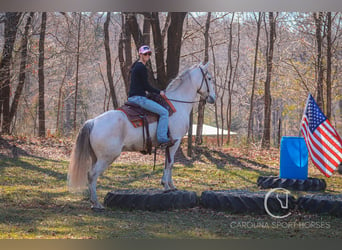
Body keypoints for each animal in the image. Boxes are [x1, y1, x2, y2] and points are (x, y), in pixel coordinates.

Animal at [68, 62, 215, 209]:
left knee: (91, 175)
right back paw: (97, 203)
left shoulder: (169, 145)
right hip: (107, 156)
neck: (177, 104)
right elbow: (170, 163)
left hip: (96, 157)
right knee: (92, 175)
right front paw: (167, 186)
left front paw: (170, 185)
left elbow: (168, 163)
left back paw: (93, 202)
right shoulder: (175, 142)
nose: (213, 98)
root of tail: (93, 122)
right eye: (209, 78)